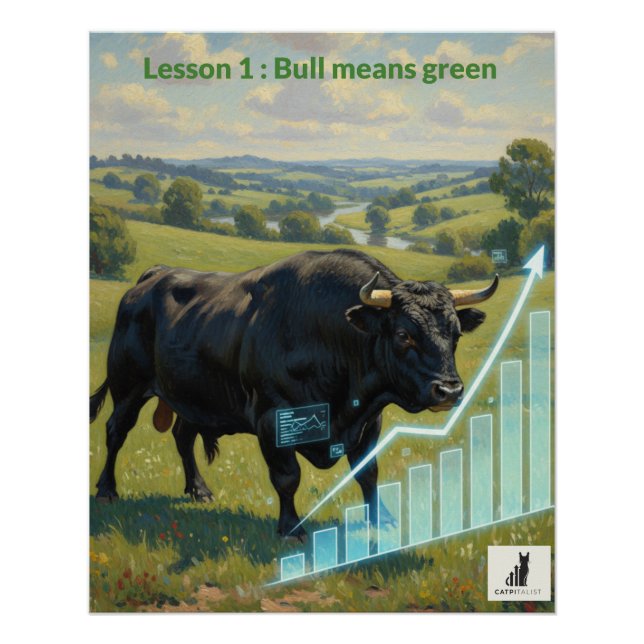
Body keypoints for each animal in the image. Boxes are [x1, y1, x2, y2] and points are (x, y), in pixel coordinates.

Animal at [89, 249, 498, 539]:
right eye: (403, 334)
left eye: (455, 333)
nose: (449, 389)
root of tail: (155, 274)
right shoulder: (273, 418)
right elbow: (287, 477)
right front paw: (290, 528)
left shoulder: (370, 421)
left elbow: (368, 472)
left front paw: (382, 520)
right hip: (128, 385)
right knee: (116, 430)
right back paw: (107, 490)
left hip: (195, 397)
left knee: (182, 436)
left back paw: (199, 491)